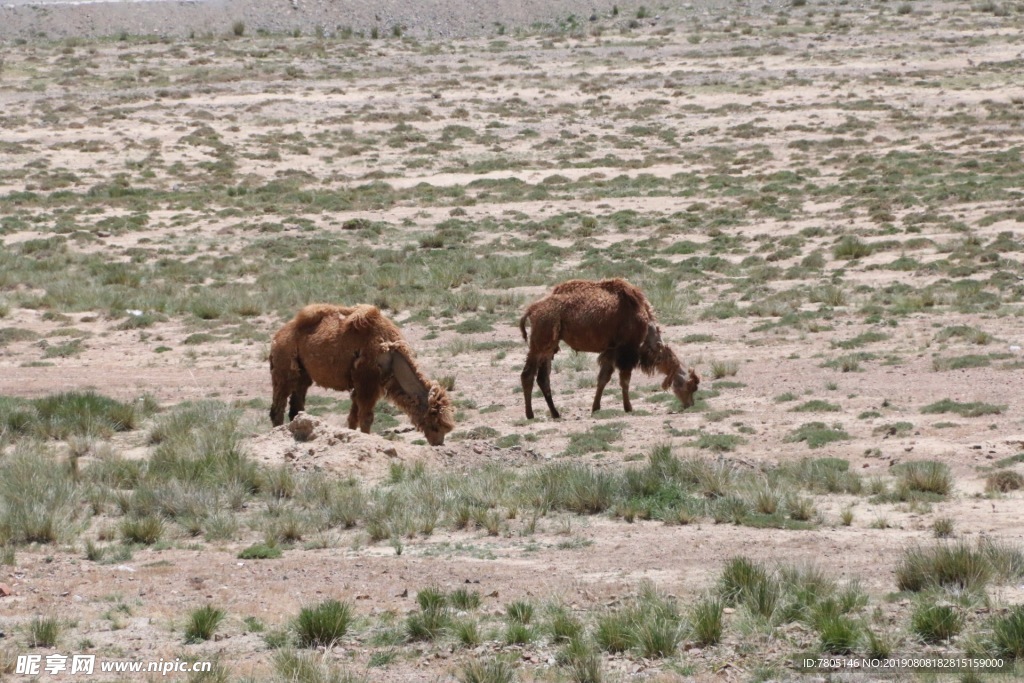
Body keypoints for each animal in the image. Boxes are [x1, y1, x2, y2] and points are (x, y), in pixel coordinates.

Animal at [270, 305, 454, 446]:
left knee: (296, 406)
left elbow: (353, 417)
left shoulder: (360, 385)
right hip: (284, 367)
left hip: (303, 374)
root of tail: (277, 336)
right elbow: (366, 418)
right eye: (435, 423)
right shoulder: (367, 381)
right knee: (277, 408)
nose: (438, 443)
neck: (391, 356)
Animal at [520, 278, 696, 419]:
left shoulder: (611, 350)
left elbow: (603, 378)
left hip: (550, 347)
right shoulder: (626, 350)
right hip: (540, 342)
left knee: (543, 378)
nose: (690, 405)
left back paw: (555, 413)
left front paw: (595, 408)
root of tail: (531, 309)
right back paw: (530, 414)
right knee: (527, 375)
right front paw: (628, 408)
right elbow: (624, 380)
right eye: (691, 385)